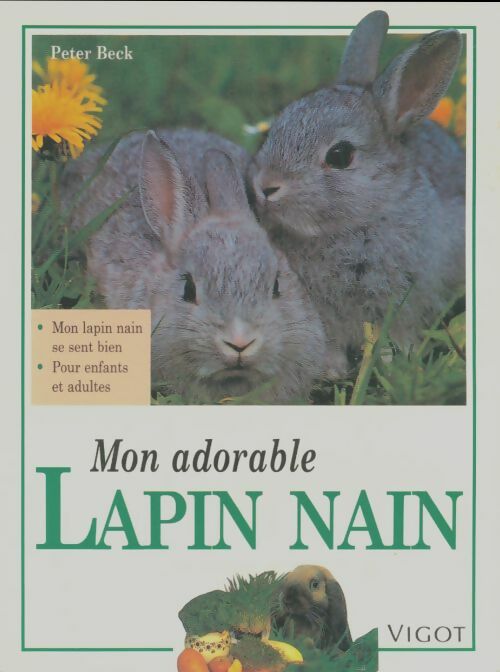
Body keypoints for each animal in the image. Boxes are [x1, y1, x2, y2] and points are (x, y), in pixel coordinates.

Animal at [249, 10, 465, 377]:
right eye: (275, 131)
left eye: (340, 155)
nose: (266, 186)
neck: (351, 227)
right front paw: (331, 369)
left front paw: (397, 363)